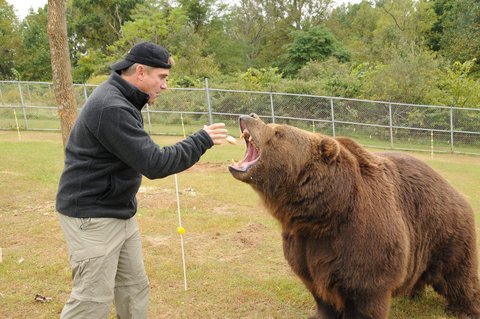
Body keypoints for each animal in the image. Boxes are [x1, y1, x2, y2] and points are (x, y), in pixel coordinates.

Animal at [229, 114, 480, 318]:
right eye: (272, 125)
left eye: (278, 132)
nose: (249, 115)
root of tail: (455, 191)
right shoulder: (304, 244)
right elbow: (318, 289)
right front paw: (321, 313)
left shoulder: (362, 235)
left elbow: (365, 290)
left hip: (444, 231)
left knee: (457, 274)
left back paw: (464, 308)